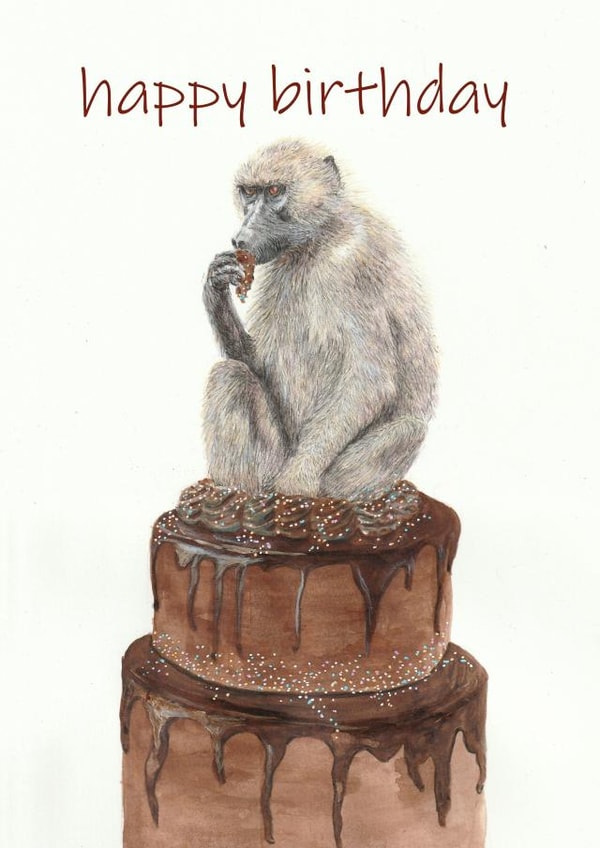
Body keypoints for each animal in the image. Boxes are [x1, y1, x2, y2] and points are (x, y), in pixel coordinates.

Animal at [202, 139, 438, 500]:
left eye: (274, 191)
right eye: (248, 193)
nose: (240, 239)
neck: (318, 238)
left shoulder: (348, 267)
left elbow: (369, 380)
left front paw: (295, 482)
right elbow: (257, 363)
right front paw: (216, 284)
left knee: (409, 429)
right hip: (273, 459)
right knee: (230, 376)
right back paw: (238, 493)